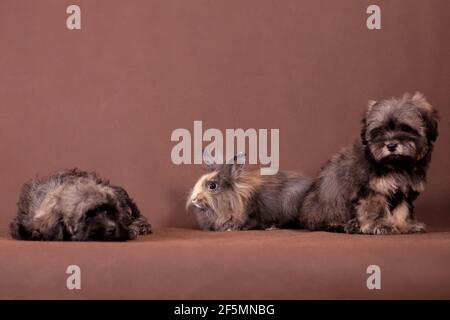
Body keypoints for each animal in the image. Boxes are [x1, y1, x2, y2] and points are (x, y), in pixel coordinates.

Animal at [300, 92, 438, 235]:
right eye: (379, 131)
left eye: (405, 128)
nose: (391, 145)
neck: (395, 164)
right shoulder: (373, 189)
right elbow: (375, 209)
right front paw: (379, 225)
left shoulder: (404, 190)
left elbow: (402, 209)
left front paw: (403, 225)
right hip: (330, 202)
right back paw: (346, 225)